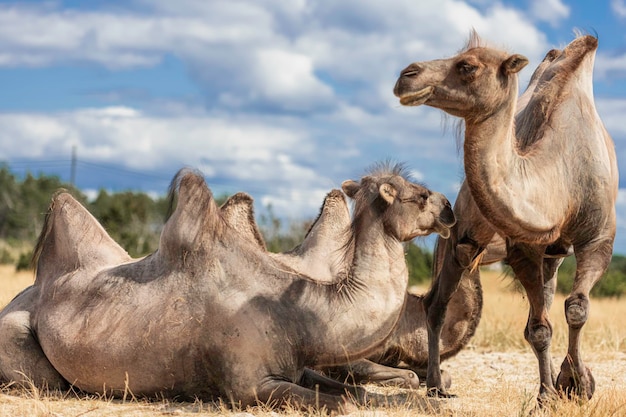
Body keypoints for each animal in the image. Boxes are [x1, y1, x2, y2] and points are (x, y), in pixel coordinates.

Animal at [0, 164, 450, 412]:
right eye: (420, 195)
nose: (448, 207)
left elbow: (355, 392)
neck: (297, 314)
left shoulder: (297, 365)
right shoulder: (249, 385)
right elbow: (340, 404)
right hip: (22, 343)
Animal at [392, 34, 616, 404]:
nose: (406, 75)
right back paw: (436, 385)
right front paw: (548, 394)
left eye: (467, 66)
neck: (561, 173)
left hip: (551, 254)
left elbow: (575, 309)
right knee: (438, 304)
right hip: (460, 238)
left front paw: (575, 384)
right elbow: (538, 329)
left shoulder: (598, 239)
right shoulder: (522, 248)